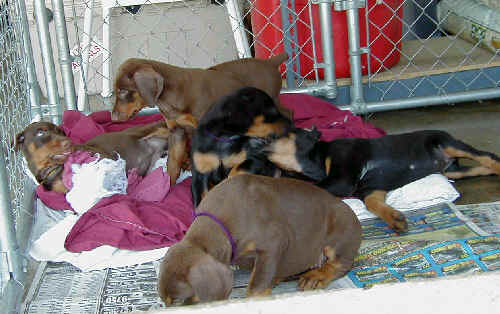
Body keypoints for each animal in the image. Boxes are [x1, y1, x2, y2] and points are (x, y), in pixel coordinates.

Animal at [15, 121, 178, 193]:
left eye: (60, 131)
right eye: (40, 132)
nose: (69, 142)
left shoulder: (106, 157)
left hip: (143, 131)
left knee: (166, 130)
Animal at [157, 173, 360, 306]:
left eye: (177, 301)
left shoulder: (273, 243)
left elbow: (256, 286)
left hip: (342, 228)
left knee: (340, 264)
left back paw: (316, 277)